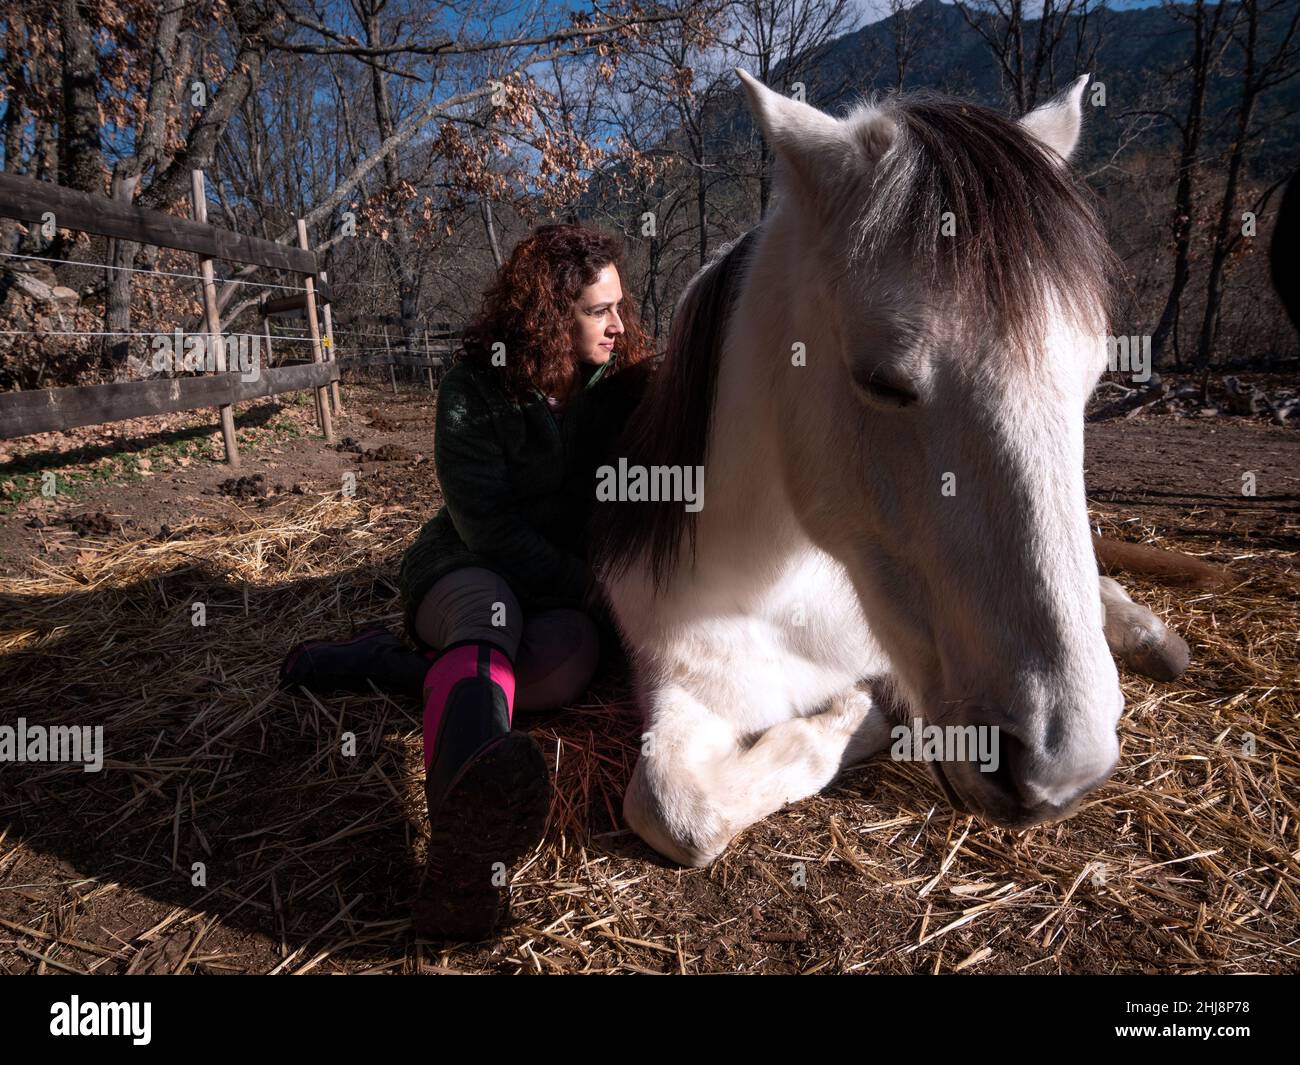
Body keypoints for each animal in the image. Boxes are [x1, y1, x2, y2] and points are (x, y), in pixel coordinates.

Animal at [590, 70, 1190, 868]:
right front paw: (856, 712)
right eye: (882, 380)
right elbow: (674, 808)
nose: (1065, 767)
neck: (778, 597)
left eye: (1092, 379)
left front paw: (863, 709)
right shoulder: (680, 681)